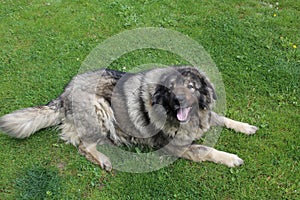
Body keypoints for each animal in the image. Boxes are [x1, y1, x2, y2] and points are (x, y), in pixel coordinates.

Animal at [0, 66, 258, 170]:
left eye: (191, 87)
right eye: (171, 88)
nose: (178, 101)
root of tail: (64, 95)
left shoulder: (205, 117)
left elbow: (222, 118)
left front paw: (245, 127)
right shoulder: (177, 148)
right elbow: (207, 150)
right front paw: (232, 158)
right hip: (102, 109)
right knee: (83, 145)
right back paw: (104, 159)